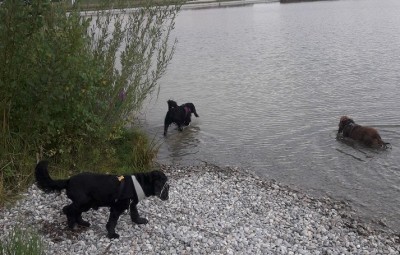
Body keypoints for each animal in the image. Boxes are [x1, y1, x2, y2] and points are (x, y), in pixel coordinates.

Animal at [34, 160, 170, 238]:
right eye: (166, 187)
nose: (167, 197)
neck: (139, 183)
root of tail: (68, 180)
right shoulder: (117, 207)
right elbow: (112, 222)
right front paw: (112, 235)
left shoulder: (132, 204)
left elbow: (135, 214)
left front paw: (139, 221)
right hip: (83, 201)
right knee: (67, 209)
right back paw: (71, 224)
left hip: (87, 203)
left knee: (76, 212)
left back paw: (82, 223)